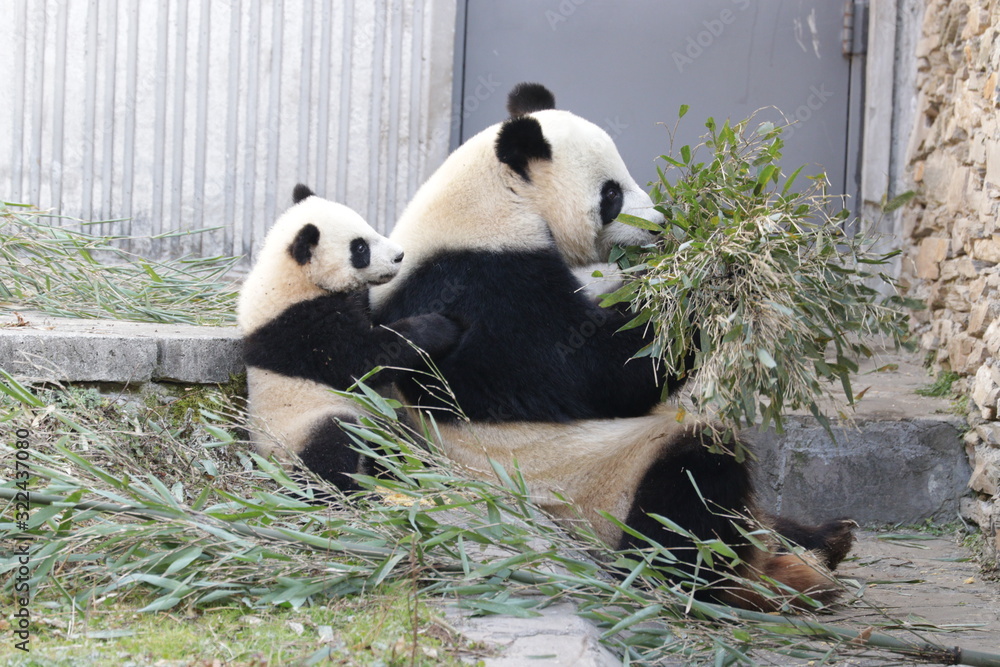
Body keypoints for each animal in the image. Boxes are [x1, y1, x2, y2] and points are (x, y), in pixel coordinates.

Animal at [238, 184, 459, 491]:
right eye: (360, 247)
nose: (399, 256)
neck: (291, 276)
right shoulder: (301, 327)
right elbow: (365, 361)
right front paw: (441, 326)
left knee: (387, 445)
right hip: (294, 432)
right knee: (333, 442)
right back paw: (347, 492)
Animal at [371, 83, 854, 609]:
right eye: (611, 193)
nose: (660, 225)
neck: (494, 203)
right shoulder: (479, 289)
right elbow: (589, 371)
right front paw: (715, 264)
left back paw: (825, 540)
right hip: (601, 490)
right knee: (692, 485)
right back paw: (730, 580)